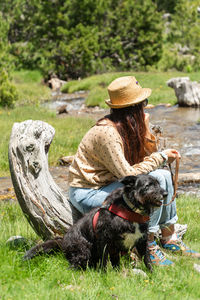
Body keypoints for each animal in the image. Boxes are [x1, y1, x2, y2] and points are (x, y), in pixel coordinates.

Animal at [23, 175, 167, 270]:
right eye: (148, 185)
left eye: (158, 183)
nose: (165, 193)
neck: (130, 210)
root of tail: (63, 241)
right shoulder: (104, 240)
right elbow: (104, 262)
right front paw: (104, 277)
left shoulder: (141, 241)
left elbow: (147, 259)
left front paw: (152, 275)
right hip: (84, 248)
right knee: (74, 265)